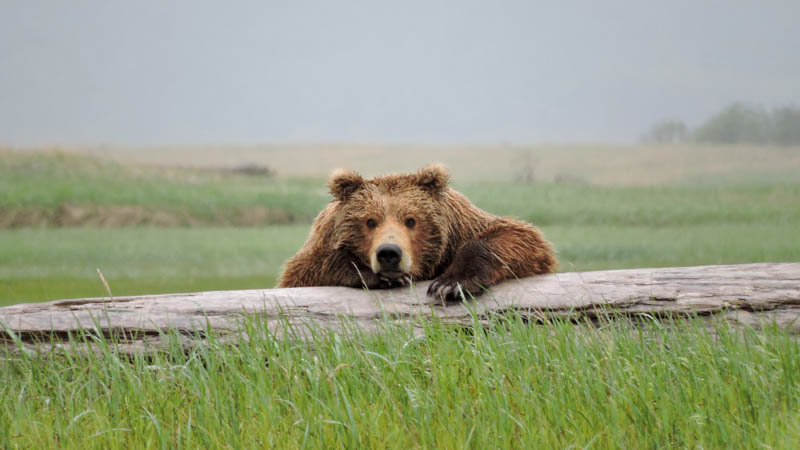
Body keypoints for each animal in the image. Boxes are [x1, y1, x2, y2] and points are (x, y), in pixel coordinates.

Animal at [276, 164, 556, 298]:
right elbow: (304, 269)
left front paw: (449, 284)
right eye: (370, 221)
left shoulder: (462, 228)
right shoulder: (321, 242)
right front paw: (378, 276)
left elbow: (518, 237)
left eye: (411, 220)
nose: (389, 253)